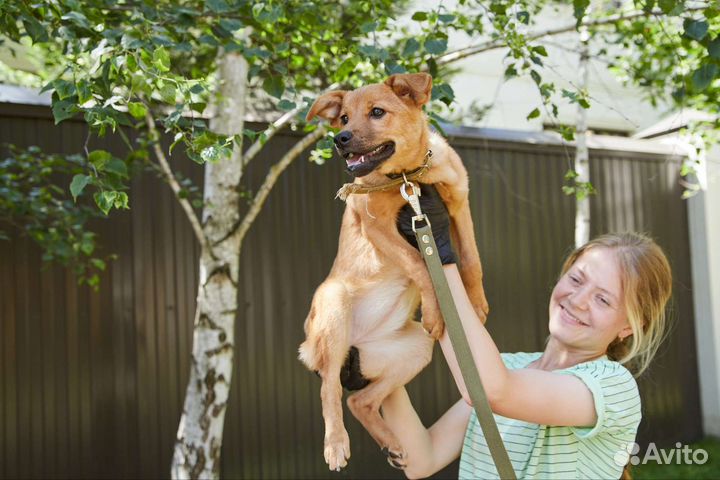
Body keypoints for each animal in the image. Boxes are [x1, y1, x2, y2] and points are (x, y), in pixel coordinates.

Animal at [298, 73, 490, 470]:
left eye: (377, 112)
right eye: (343, 118)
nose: (339, 139)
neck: (408, 177)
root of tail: (356, 342)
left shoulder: (458, 204)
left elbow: (471, 258)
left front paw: (476, 304)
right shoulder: (377, 226)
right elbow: (418, 263)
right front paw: (434, 311)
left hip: (414, 350)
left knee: (359, 399)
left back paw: (391, 443)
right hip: (333, 303)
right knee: (330, 387)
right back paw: (335, 444)